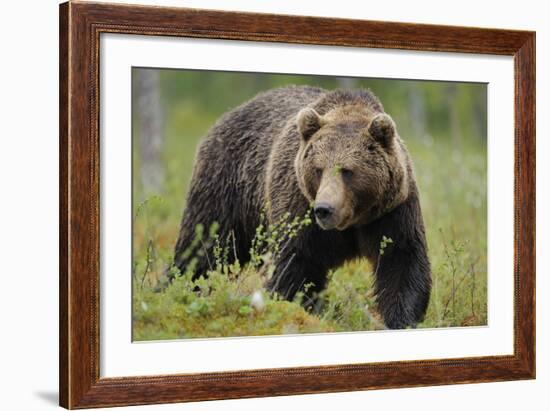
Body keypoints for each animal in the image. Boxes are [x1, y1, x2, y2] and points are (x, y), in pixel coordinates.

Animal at [166, 85, 434, 330]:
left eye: (347, 171)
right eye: (318, 169)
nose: (324, 209)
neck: (352, 221)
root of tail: (227, 115)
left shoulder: (392, 211)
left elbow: (401, 260)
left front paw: (400, 319)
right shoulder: (298, 206)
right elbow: (295, 263)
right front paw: (297, 309)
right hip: (227, 187)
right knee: (202, 248)